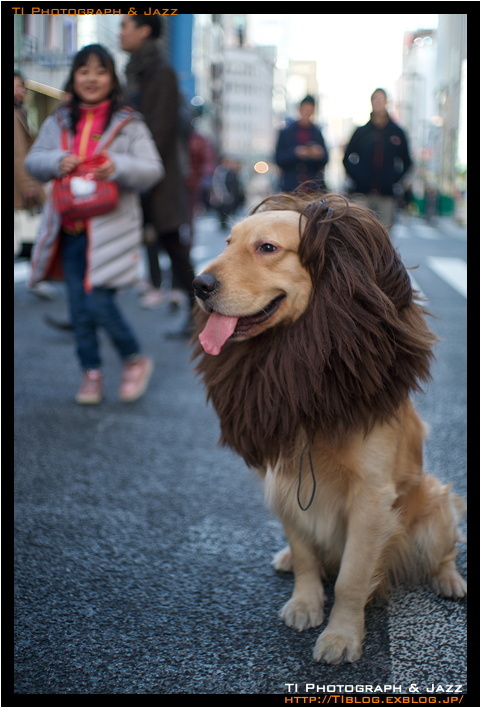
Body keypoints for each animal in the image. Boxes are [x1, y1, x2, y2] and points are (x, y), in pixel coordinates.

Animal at [190, 192, 464, 664]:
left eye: (267, 248)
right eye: (227, 242)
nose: (198, 285)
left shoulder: (371, 496)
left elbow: (352, 578)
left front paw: (341, 636)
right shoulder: (284, 481)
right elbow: (305, 555)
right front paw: (305, 603)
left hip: (435, 504)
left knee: (447, 550)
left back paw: (450, 580)